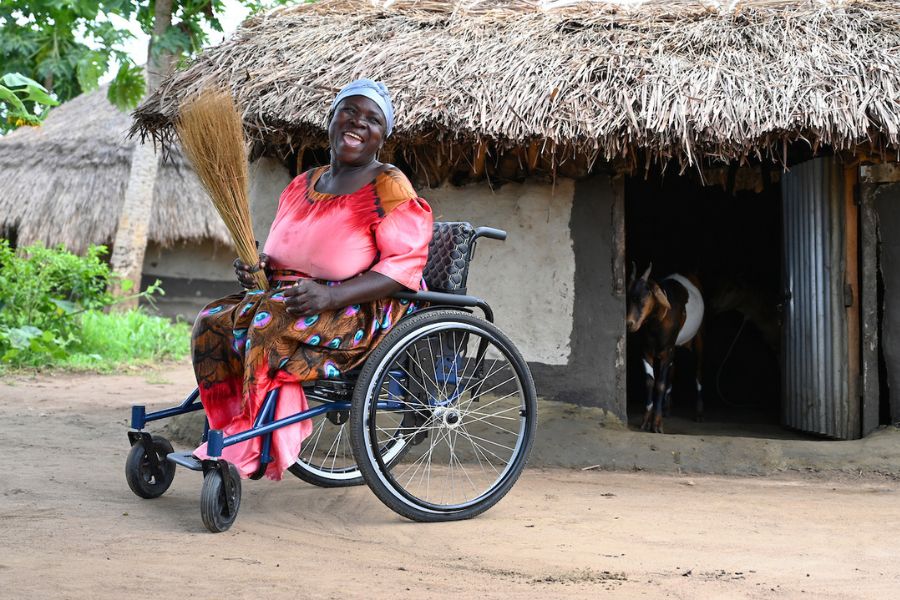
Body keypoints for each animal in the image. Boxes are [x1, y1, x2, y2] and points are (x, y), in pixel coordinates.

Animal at [624, 264, 704, 434]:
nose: (629, 324)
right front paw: (646, 421)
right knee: (673, 369)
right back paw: (667, 408)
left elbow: (660, 384)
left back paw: (699, 413)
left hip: (699, 334)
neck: (656, 323)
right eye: (627, 299)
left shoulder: (666, 352)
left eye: (644, 297)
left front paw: (656, 424)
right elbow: (649, 381)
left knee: (698, 371)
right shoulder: (646, 351)